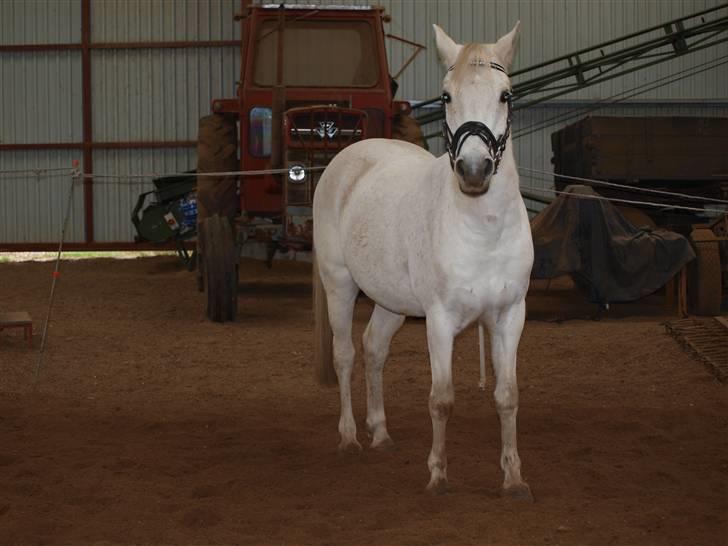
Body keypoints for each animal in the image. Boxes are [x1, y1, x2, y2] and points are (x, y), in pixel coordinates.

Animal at [310, 21, 532, 498]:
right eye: (446, 95)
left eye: (505, 95)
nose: (473, 170)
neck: (483, 230)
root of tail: (345, 159)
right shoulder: (440, 319)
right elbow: (441, 399)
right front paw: (438, 475)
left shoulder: (510, 315)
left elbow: (507, 397)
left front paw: (514, 478)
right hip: (340, 285)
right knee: (345, 354)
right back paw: (350, 437)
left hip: (391, 302)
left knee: (374, 349)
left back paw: (381, 433)